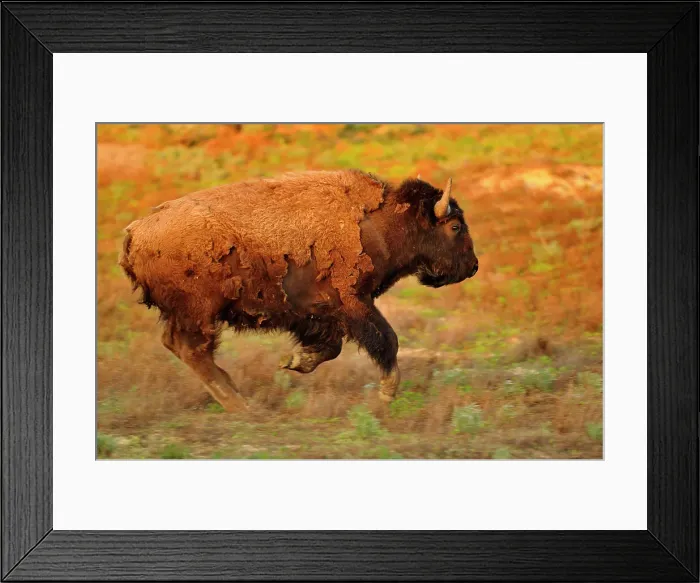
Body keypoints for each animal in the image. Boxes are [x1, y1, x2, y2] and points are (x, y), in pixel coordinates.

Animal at [119, 170, 478, 411]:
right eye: (456, 227)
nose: (473, 266)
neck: (381, 224)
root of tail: (135, 233)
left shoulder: (315, 314)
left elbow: (331, 348)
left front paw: (294, 362)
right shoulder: (353, 303)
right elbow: (387, 339)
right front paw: (387, 392)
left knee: (181, 346)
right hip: (200, 312)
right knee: (192, 349)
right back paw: (240, 404)